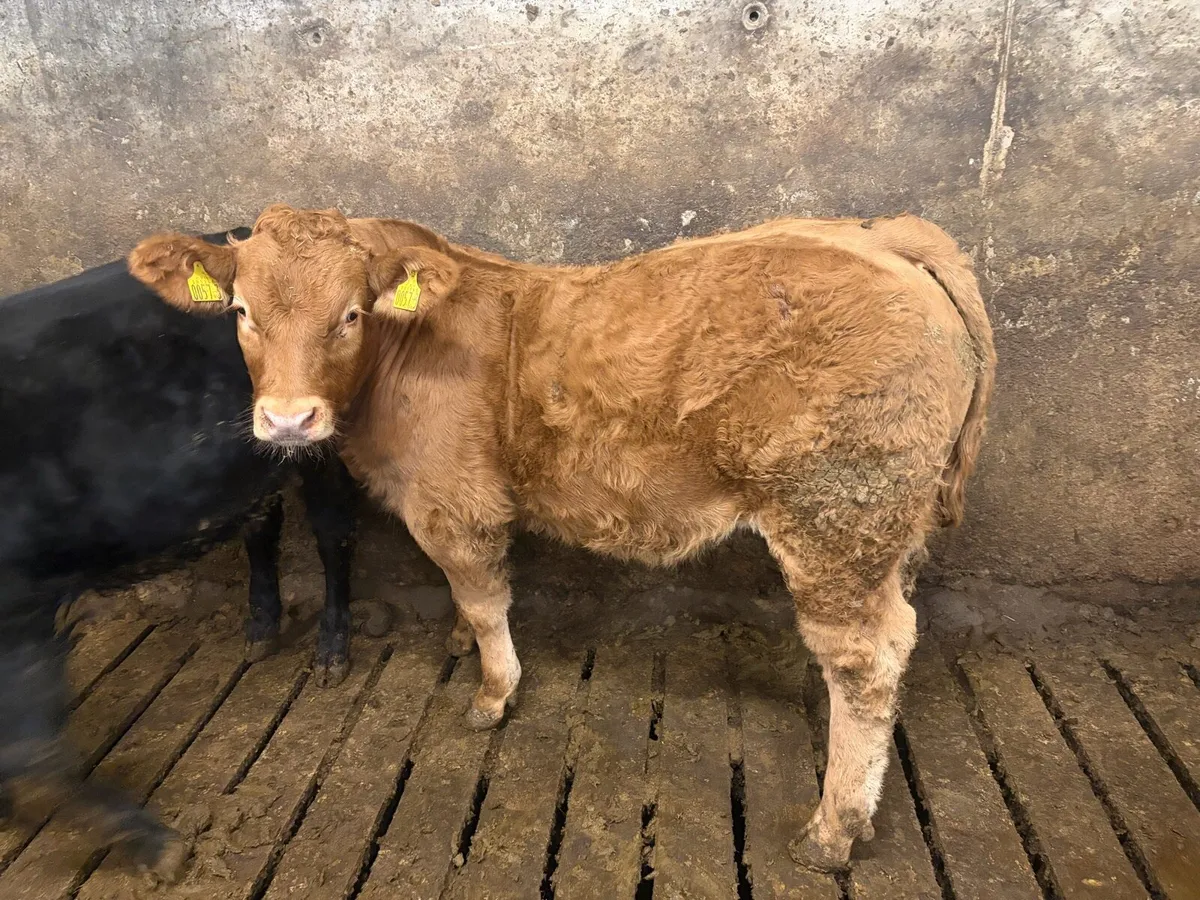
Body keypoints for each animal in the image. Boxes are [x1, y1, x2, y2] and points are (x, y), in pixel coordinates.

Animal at [0, 233, 360, 881]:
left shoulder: (20, 605)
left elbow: (33, 758)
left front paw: (155, 845)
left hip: (319, 444)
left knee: (332, 531)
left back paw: (330, 654)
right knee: (262, 526)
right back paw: (260, 631)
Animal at [129, 205, 995, 871]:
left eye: (351, 314)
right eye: (242, 312)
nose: (287, 419)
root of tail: (885, 238)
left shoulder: (456, 502)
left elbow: (484, 599)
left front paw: (493, 690)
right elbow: (466, 602)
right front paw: (457, 643)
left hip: (832, 516)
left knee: (866, 658)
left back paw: (833, 830)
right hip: (886, 527)